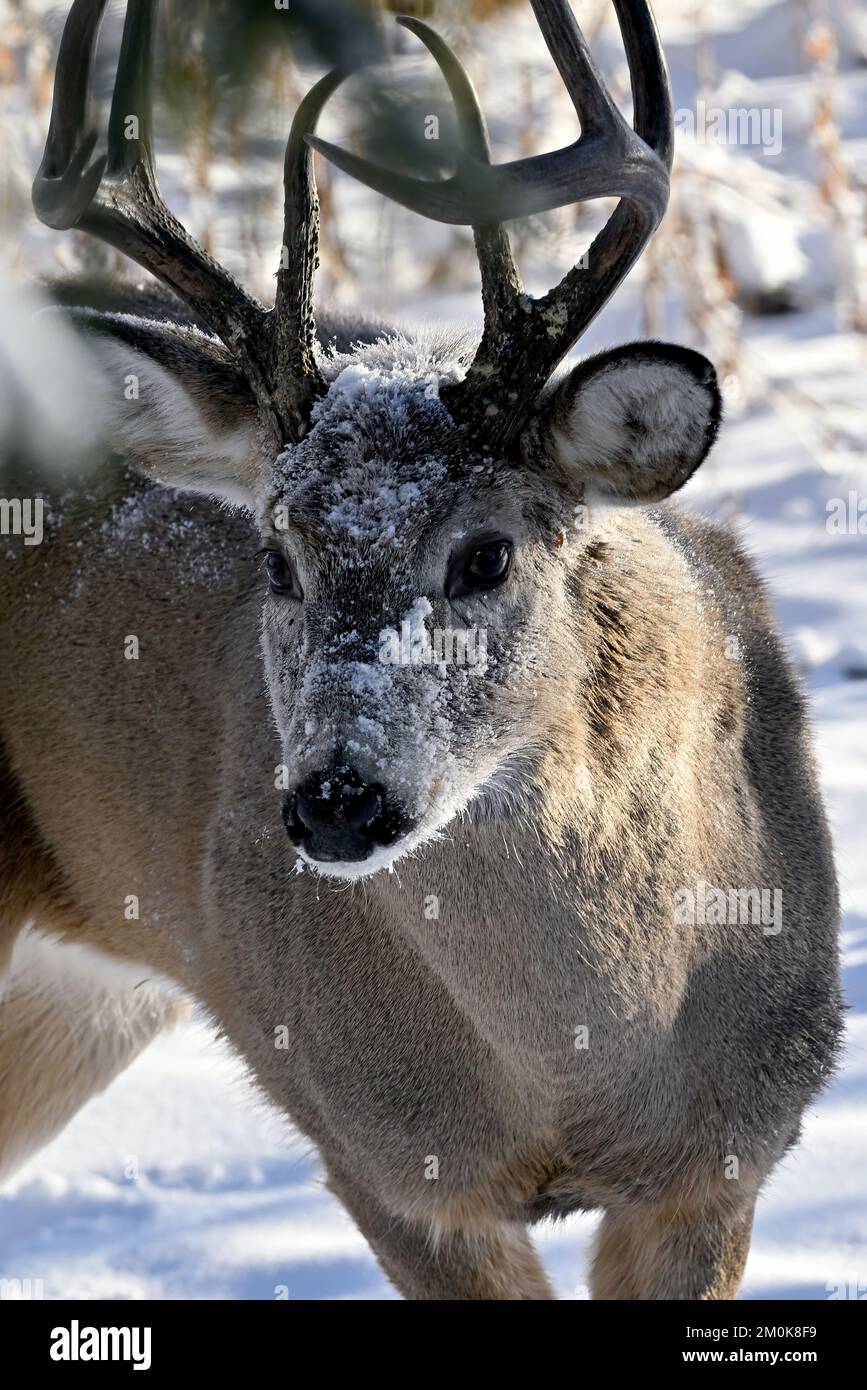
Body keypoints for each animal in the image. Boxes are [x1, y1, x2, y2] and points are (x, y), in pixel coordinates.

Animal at [0, 0, 842, 1301]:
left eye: (485, 555)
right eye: (275, 557)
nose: (337, 798)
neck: (581, 1065)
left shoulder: (726, 1156)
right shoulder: (386, 1163)